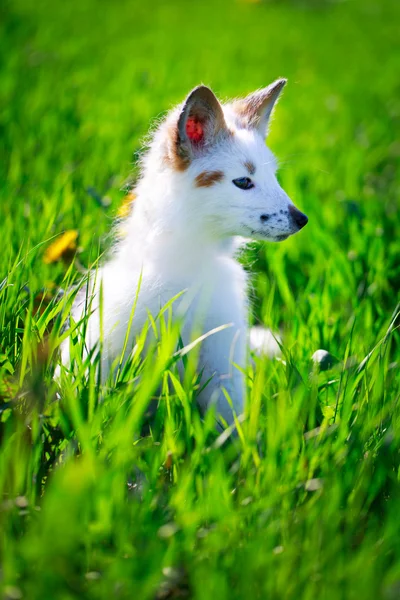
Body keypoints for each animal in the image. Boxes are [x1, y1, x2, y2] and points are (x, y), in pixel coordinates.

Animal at [59, 79, 308, 428]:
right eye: (243, 181)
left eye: (273, 176)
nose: (302, 219)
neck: (188, 266)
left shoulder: (222, 365)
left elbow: (227, 425)